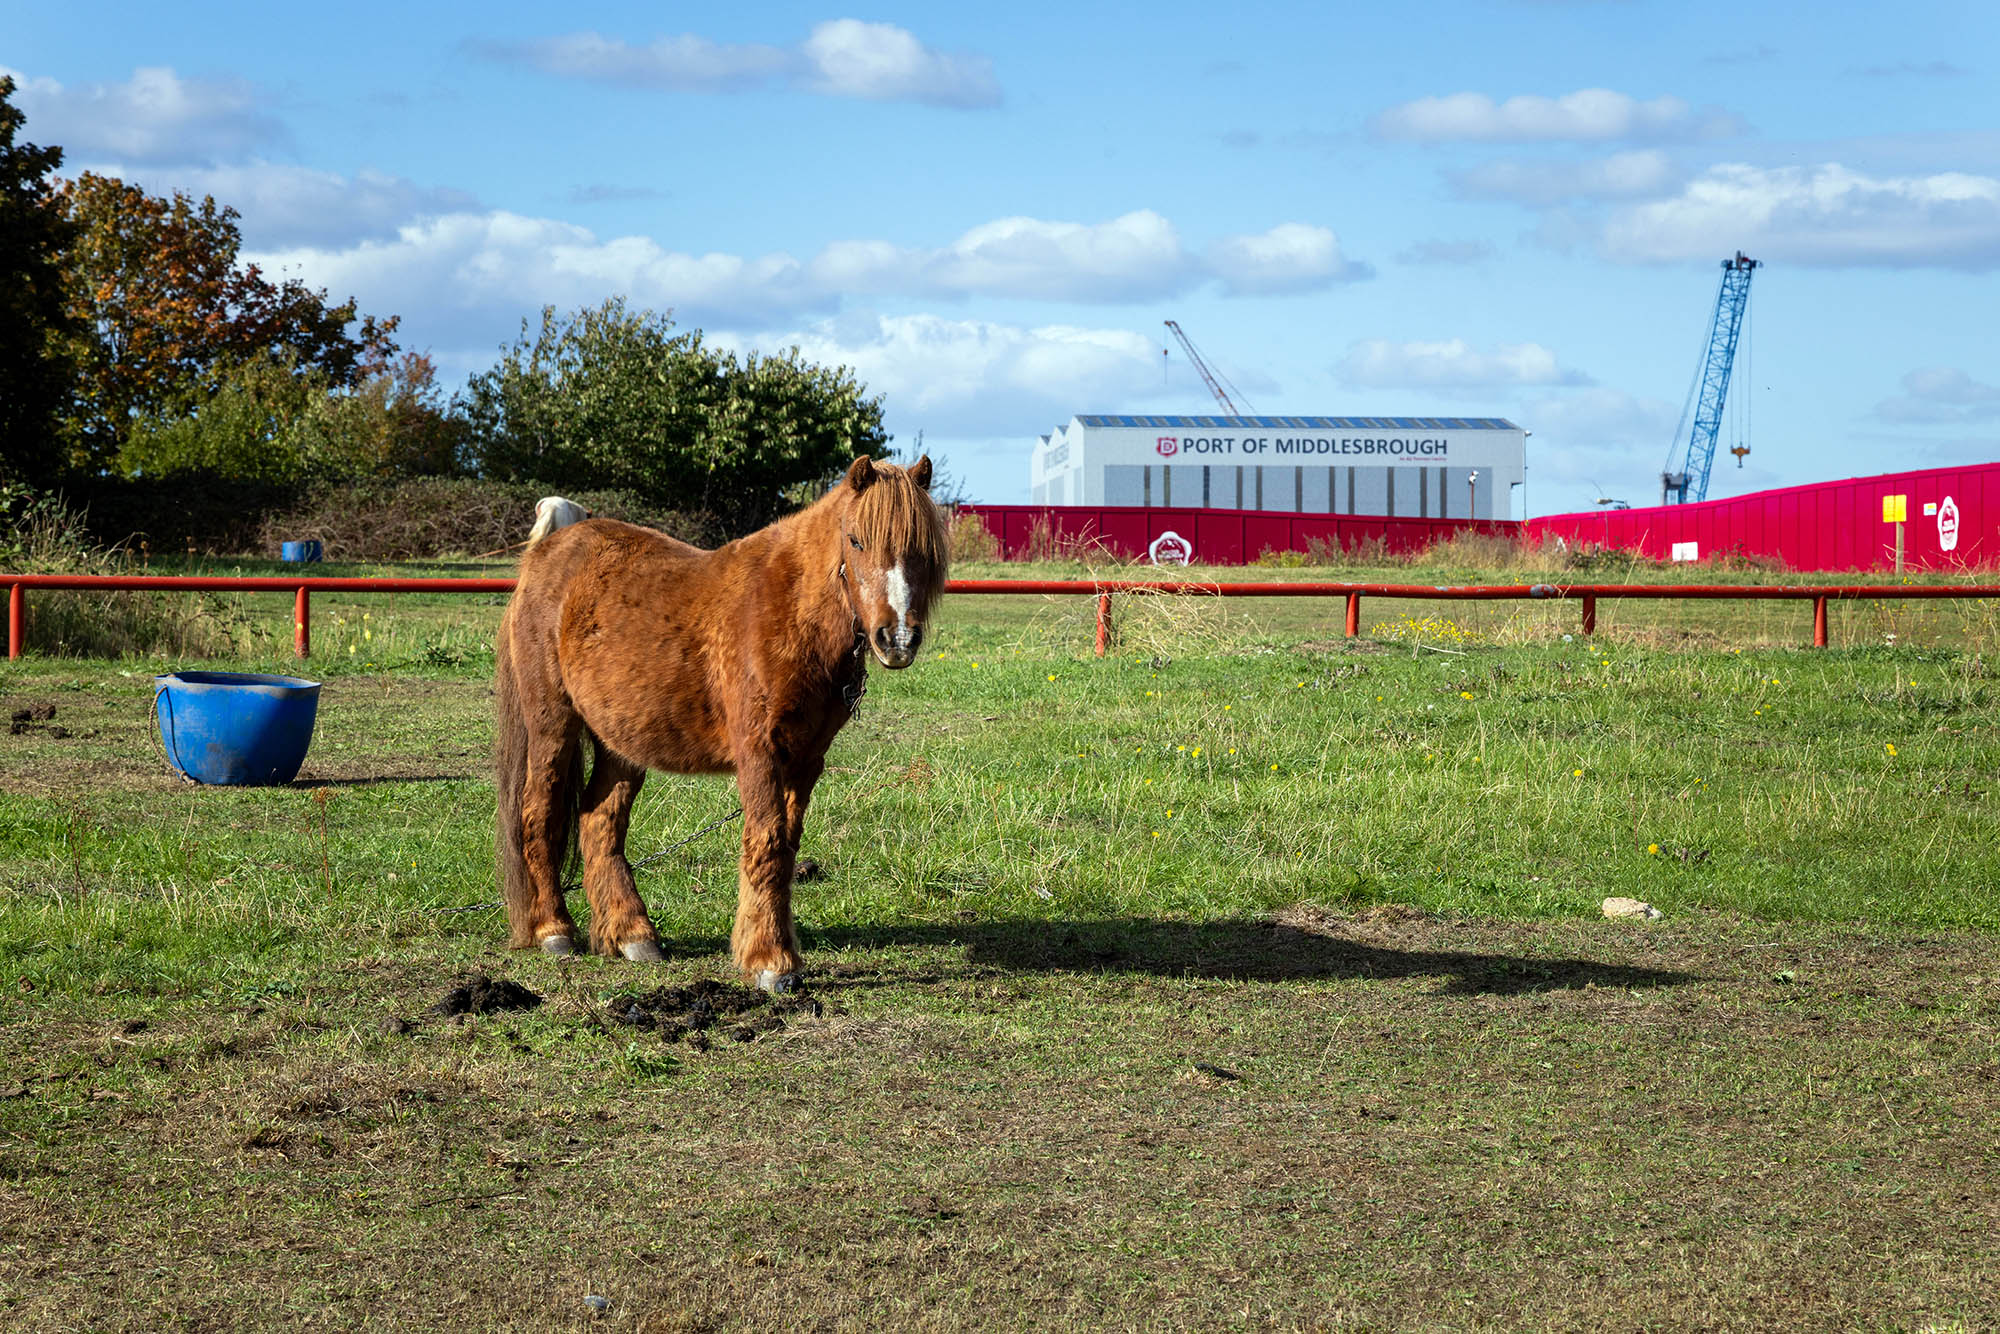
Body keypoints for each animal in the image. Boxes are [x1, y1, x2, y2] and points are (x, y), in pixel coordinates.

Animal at [492, 456, 948, 991]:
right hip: (553, 726)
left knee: (599, 820)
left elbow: (785, 849)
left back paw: (632, 935)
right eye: (856, 540)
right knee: (539, 813)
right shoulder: (759, 754)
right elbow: (766, 842)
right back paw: (554, 930)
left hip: (620, 743)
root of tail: (545, 557)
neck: (789, 610)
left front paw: (771, 952)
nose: (897, 639)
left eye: (922, 549)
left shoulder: (805, 761)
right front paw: (771, 961)